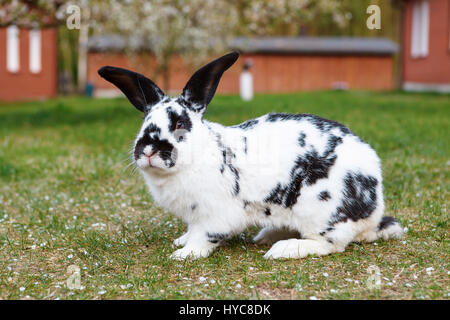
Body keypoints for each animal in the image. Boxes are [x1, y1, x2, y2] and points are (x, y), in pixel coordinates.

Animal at [98, 50, 404, 260]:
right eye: (145, 122)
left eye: (180, 124)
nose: (148, 150)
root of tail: (374, 211)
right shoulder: (194, 216)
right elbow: (191, 230)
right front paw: (181, 242)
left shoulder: (215, 215)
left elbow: (204, 236)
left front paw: (185, 253)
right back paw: (265, 236)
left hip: (319, 210)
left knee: (330, 244)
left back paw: (283, 249)